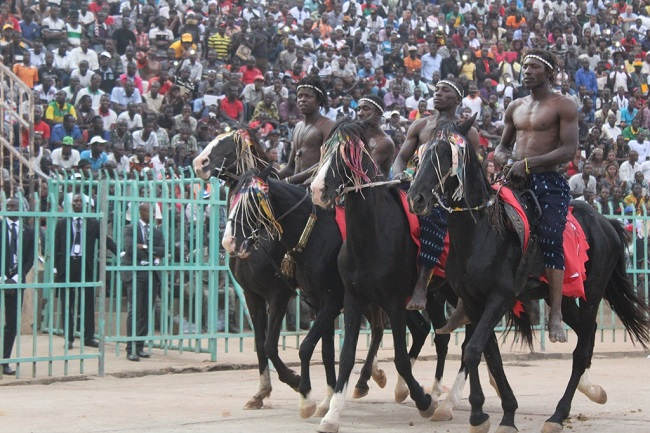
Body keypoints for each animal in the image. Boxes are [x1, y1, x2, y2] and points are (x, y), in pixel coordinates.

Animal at [310, 119, 446, 432]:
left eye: (345, 155)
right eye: (324, 148)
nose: (317, 189)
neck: (371, 236)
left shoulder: (394, 302)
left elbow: (400, 358)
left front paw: (424, 401)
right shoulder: (353, 298)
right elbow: (346, 356)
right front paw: (332, 414)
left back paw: (435, 393)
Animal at [404, 115, 648, 432]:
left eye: (447, 154)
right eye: (421, 154)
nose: (416, 198)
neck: (479, 232)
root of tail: (606, 222)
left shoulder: (500, 297)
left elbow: (473, 349)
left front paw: (478, 414)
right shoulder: (473, 301)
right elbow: (488, 353)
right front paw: (501, 412)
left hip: (592, 292)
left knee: (582, 348)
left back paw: (558, 414)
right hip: (564, 298)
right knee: (588, 332)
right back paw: (588, 390)